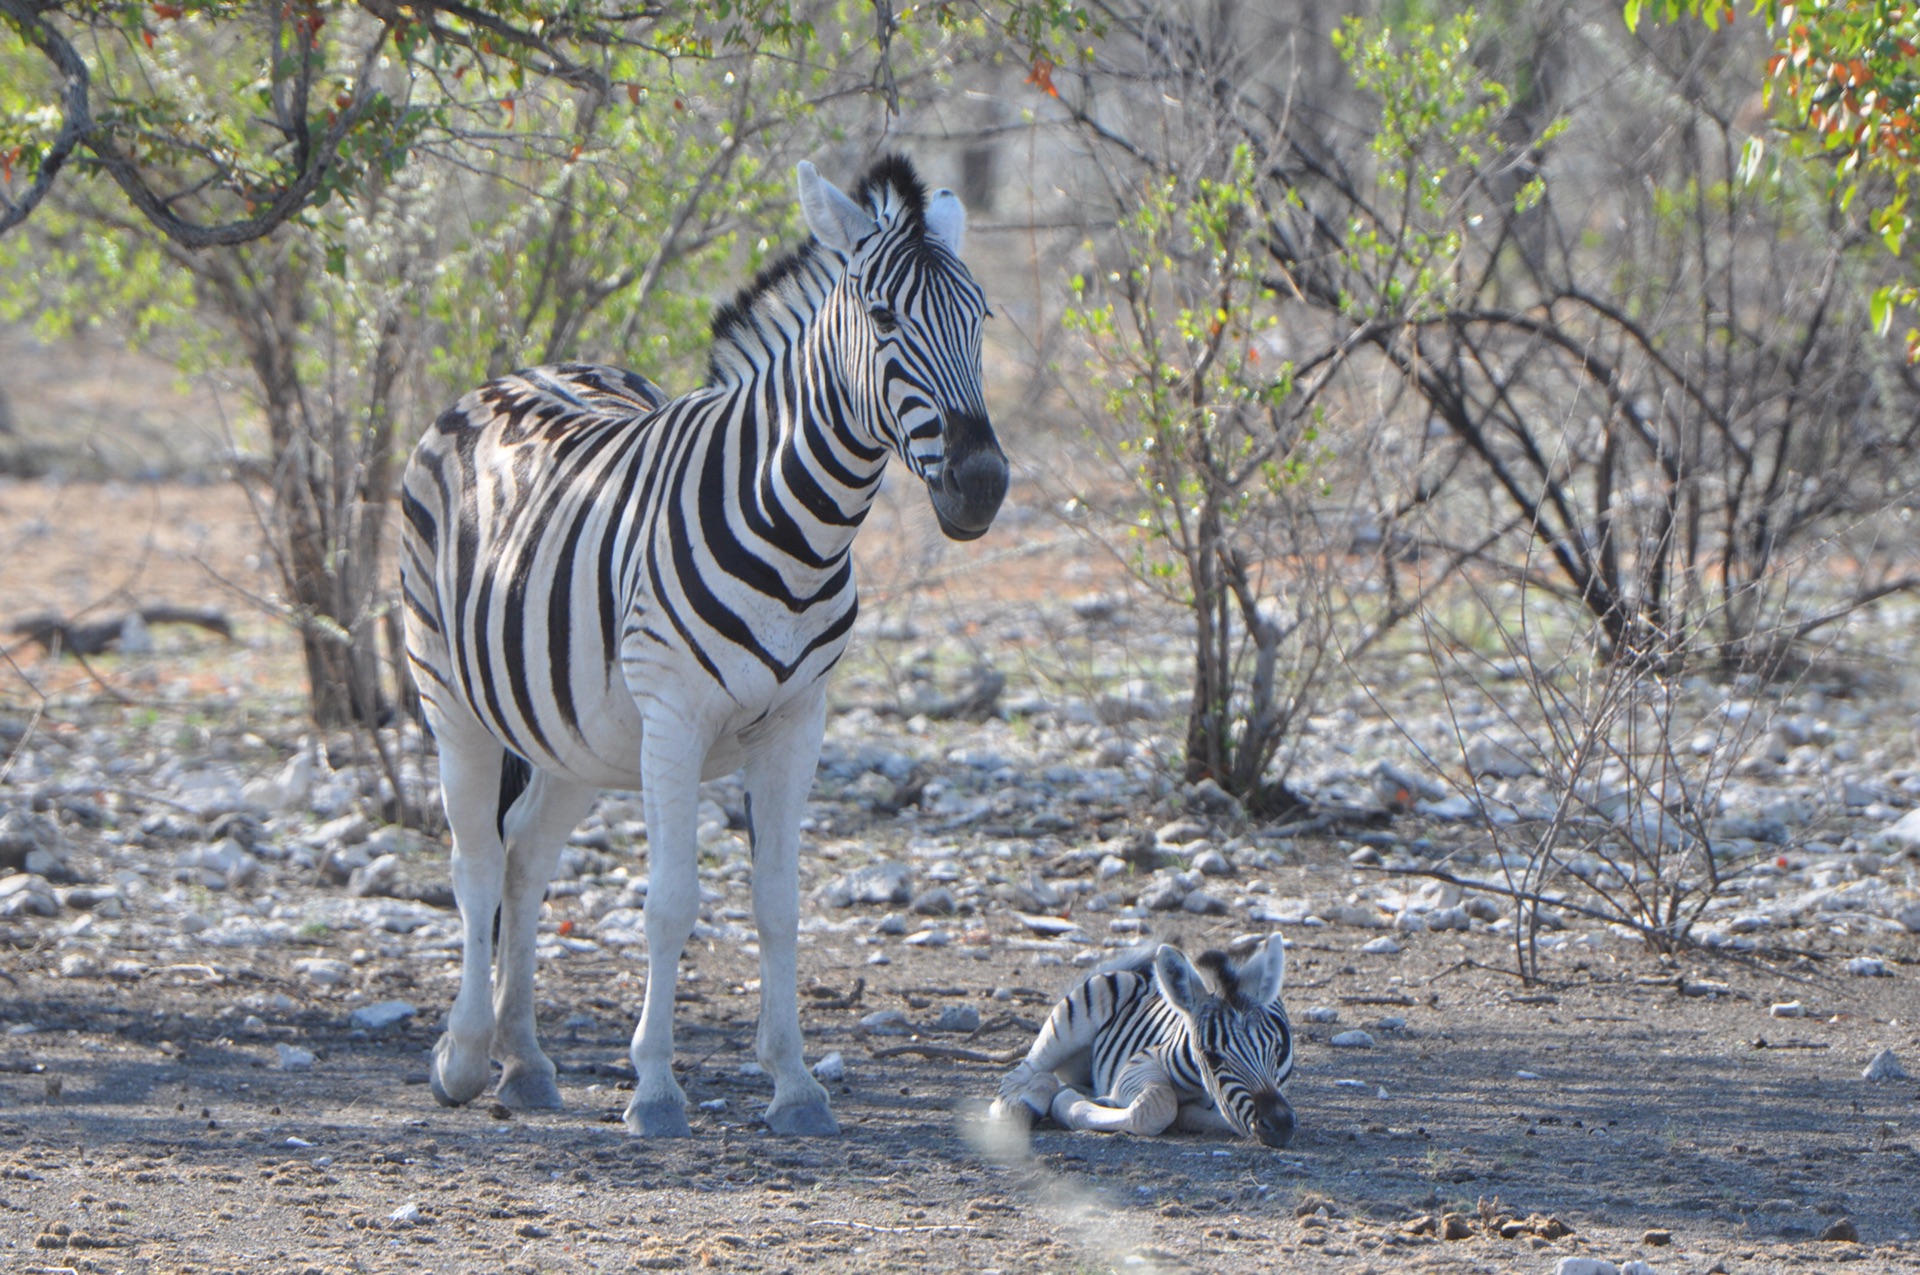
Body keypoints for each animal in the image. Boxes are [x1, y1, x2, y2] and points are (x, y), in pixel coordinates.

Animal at [399, 154, 1013, 1136]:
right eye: (884, 318)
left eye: (981, 316)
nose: (981, 485)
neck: (801, 528)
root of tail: (507, 377)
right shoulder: (677, 716)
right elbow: (671, 902)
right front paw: (654, 1086)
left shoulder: (798, 721)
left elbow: (778, 903)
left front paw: (795, 1082)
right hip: (450, 694)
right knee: (478, 863)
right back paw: (460, 1057)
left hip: (581, 732)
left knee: (527, 854)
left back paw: (524, 1061)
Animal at [990, 937, 1305, 1144]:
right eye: (1212, 1057)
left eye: (1277, 1049)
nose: (1281, 1126)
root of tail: (1139, 975)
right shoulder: (1138, 1065)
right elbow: (1159, 1106)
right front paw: (1069, 1103)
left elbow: (1214, 1117)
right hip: (1068, 1025)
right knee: (1017, 1079)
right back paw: (1029, 1102)